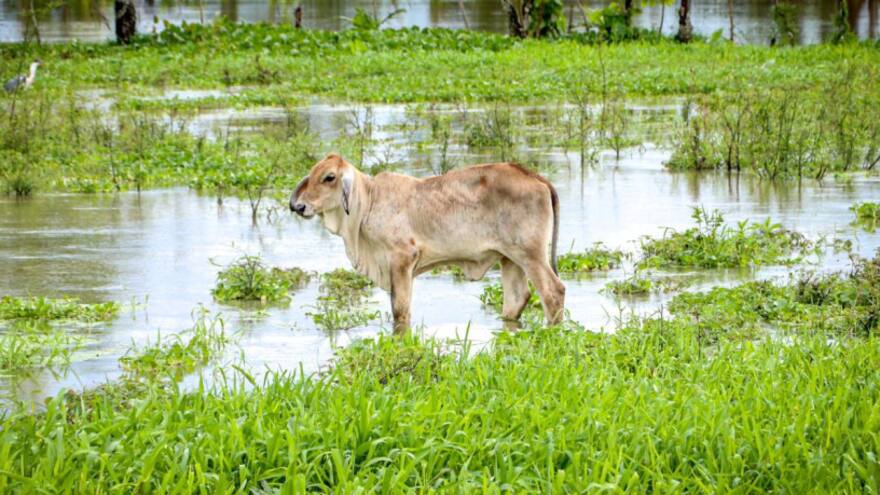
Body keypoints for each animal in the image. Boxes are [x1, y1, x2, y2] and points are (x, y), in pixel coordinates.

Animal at [290, 153, 565, 333]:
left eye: (329, 177)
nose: (298, 206)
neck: (369, 202)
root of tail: (533, 176)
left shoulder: (402, 260)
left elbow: (400, 310)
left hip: (531, 255)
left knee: (554, 292)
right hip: (509, 258)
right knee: (517, 299)